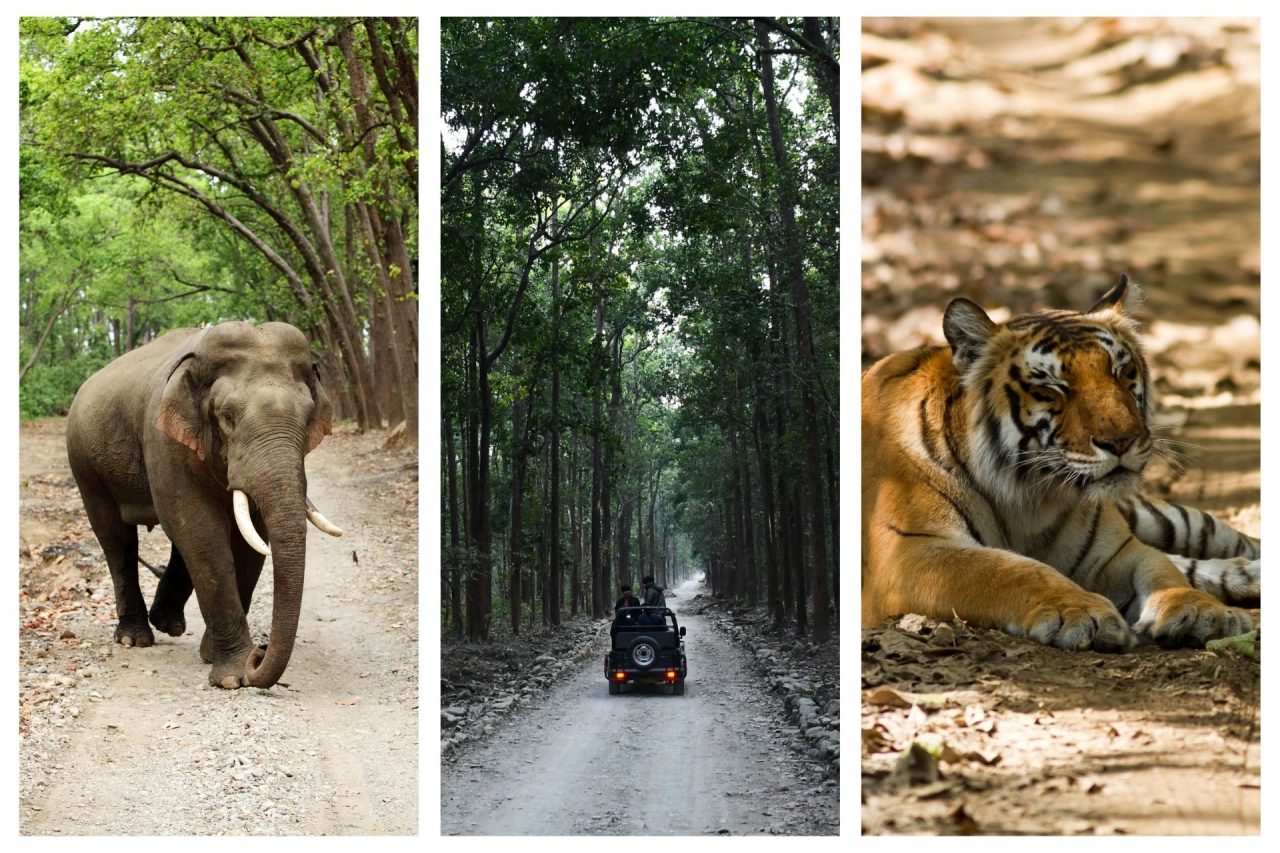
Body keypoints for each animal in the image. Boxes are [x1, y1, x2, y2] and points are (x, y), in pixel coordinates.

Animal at [66, 318, 343, 686]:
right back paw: (133, 639)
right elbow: (202, 531)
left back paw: (168, 623)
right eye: (227, 417)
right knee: (117, 539)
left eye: (308, 416)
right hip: (85, 464)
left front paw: (217, 659)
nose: (260, 653)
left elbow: (248, 539)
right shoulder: (164, 440)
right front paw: (233, 677)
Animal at [860, 275, 1259, 648]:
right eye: (1050, 388)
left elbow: (1162, 570)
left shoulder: (1114, 551)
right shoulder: (910, 551)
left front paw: (1201, 610)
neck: (1028, 497)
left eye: (1123, 373)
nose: (1122, 441)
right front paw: (1080, 612)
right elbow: (1015, 571)